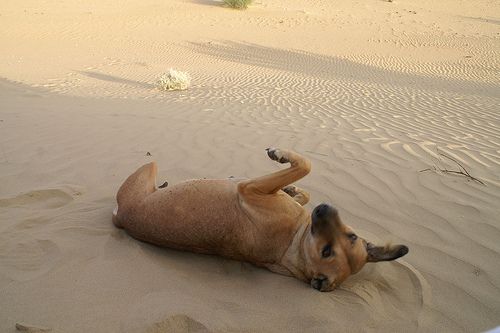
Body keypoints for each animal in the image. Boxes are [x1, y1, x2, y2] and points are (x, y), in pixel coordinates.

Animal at [114, 148, 410, 290]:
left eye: (327, 252)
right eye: (353, 235)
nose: (324, 209)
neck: (296, 241)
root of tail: (123, 219)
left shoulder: (250, 188)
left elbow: (305, 165)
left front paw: (280, 155)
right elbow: (302, 187)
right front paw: (294, 191)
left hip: (147, 169)